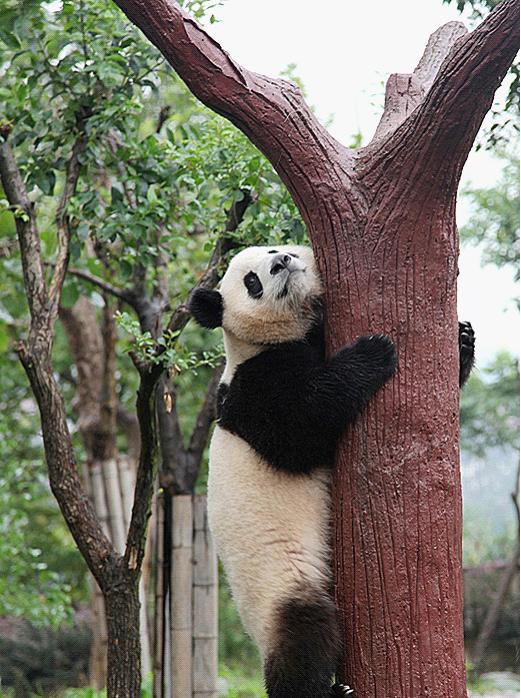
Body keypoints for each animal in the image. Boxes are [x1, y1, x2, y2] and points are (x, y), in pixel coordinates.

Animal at [189, 245, 475, 698]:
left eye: (273, 249)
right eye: (252, 281)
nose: (282, 262)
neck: (263, 343)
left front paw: (463, 339)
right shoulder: (254, 388)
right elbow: (301, 429)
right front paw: (372, 351)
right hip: (279, 582)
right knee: (306, 631)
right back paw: (324, 689)